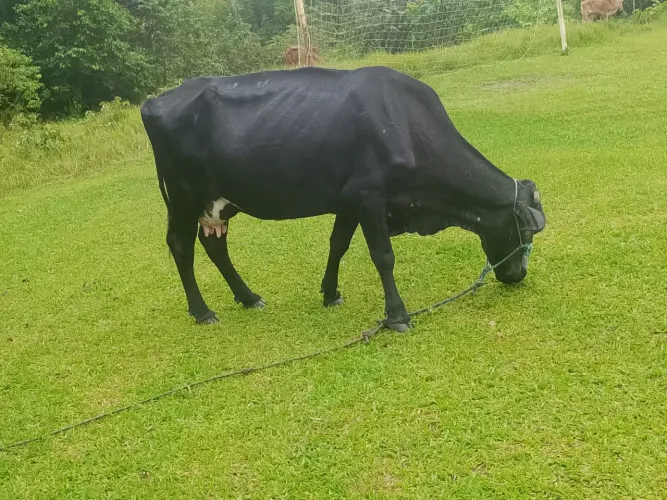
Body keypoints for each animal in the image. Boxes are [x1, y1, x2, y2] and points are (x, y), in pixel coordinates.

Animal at [140, 66, 546, 332]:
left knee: (215, 246)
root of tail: (155, 101)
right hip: (183, 195)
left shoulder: (349, 200)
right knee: (180, 245)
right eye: (523, 232)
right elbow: (383, 256)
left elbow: (338, 244)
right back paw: (202, 311)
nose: (518, 275)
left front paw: (329, 292)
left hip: (218, 202)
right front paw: (397, 316)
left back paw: (248, 296)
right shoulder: (369, 195)